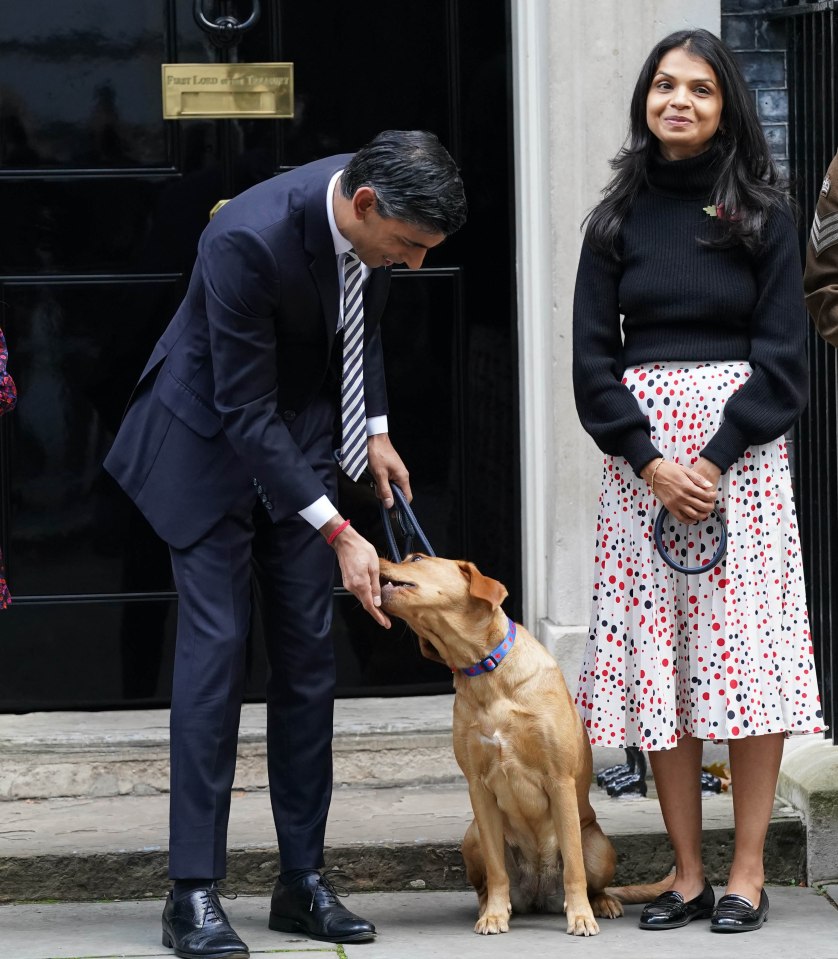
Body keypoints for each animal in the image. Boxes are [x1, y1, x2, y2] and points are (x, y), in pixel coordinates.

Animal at [378, 556, 668, 936]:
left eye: (415, 558)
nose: (378, 558)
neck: (485, 669)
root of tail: (539, 894)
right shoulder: (478, 788)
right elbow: (496, 871)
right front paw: (494, 915)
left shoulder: (560, 780)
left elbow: (574, 866)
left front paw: (580, 916)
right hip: (472, 835)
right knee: (485, 882)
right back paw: (491, 906)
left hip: (598, 845)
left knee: (592, 879)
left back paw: (602, 903)